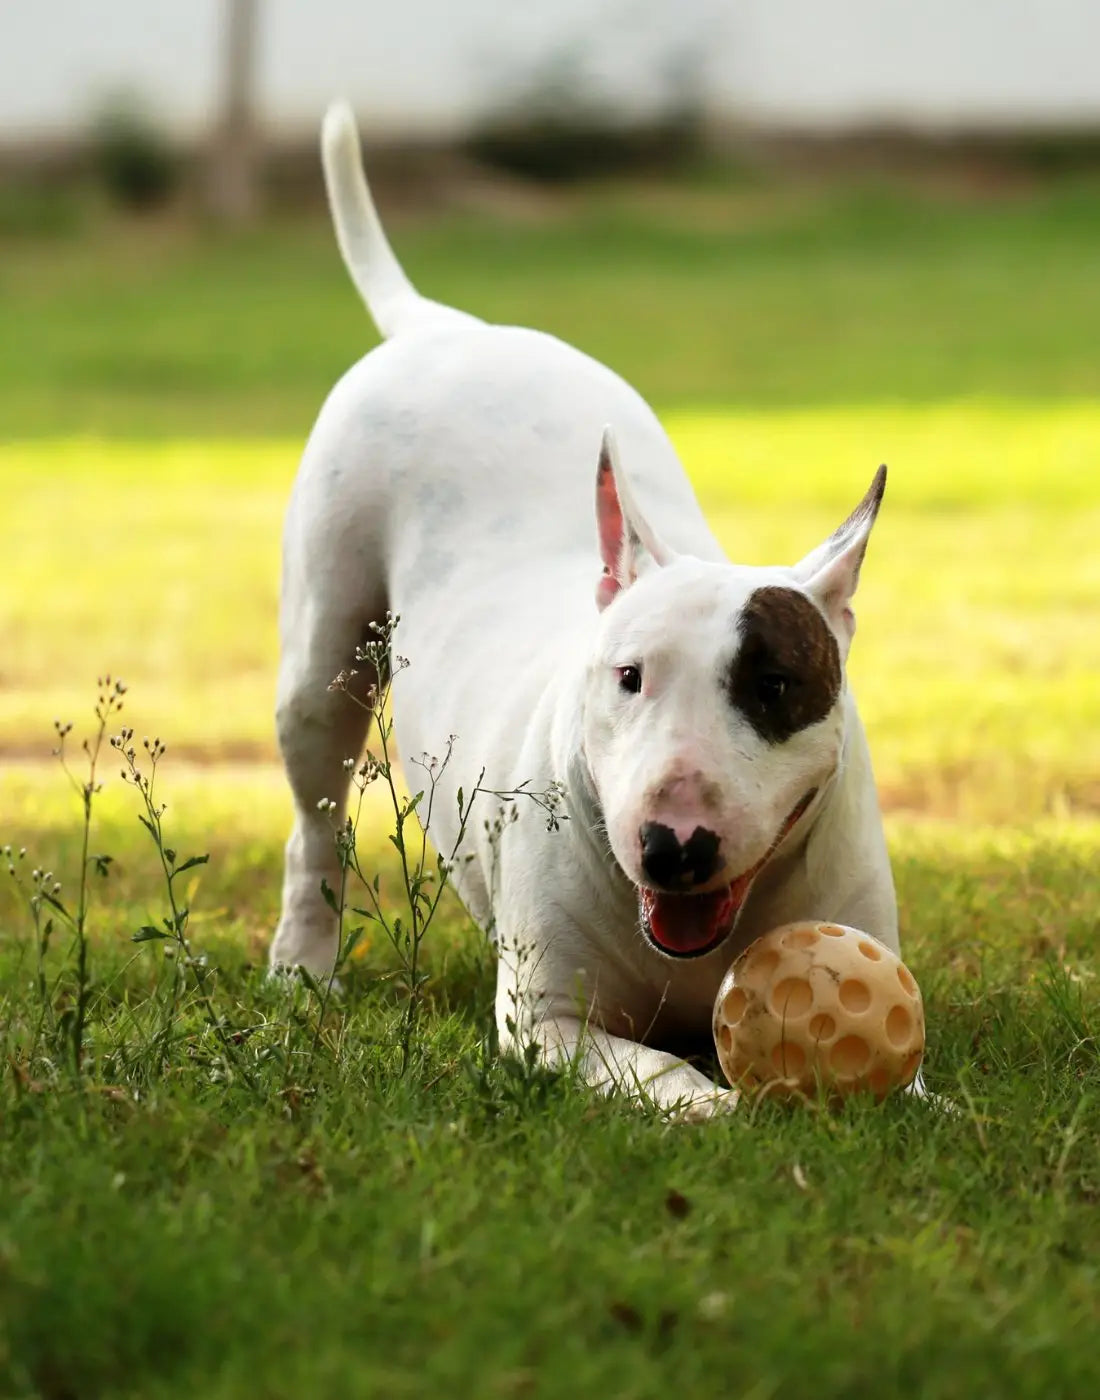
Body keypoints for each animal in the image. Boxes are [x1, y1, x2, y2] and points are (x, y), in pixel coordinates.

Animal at [270, 101, 895, 1114]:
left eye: (773, 684)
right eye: (629, 677)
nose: (673, 846)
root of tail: (442, 327)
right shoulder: (548, 1021)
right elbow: (655, 1066)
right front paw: (719, 1107)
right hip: (323, 655)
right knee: (315, 819)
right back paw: (301, 969)